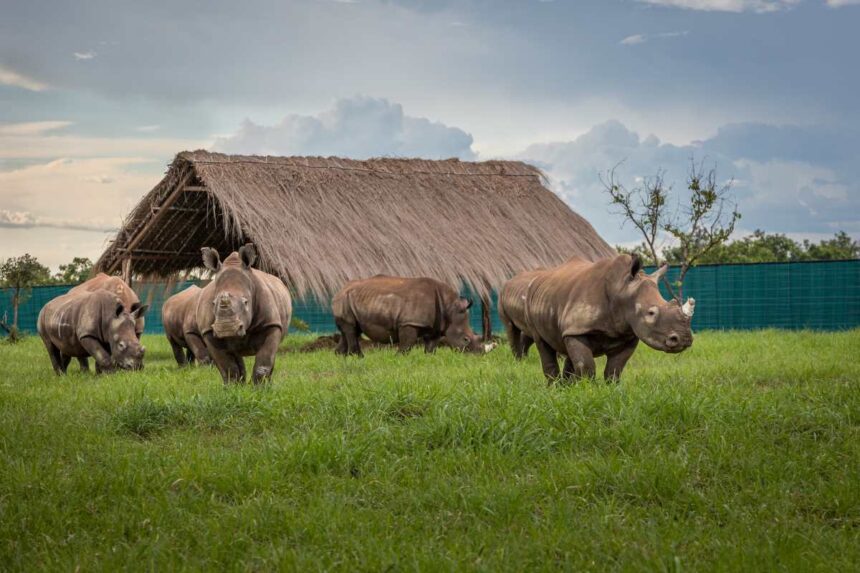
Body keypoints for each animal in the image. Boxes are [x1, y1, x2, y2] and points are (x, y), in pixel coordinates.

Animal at [196, 244, 292, 383]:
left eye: (246, 302)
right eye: (213, 303)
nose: (226, 328)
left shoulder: (271, 324)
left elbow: (263, 363)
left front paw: (260, 388)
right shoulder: (208, 331)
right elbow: (228, 367)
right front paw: (232, 388)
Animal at [331, 275, 493, 356]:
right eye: (465, 339)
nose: (479, 354)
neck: (449, 308)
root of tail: (339, 290)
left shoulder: (434, 326)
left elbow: (431, 346)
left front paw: (429, 358)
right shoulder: (409, 322)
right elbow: (407, 345)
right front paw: (398, 359)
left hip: (350, 299)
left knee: (351, 331)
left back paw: (341, 357)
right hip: (344, 299)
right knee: (351, 330)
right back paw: (358, 358)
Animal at [504, 254, 694, 382]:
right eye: (651, 313)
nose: (684, 339)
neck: (621, 290)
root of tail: (536, 279)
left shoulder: (628, 335)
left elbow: (614, 370)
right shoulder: (579, 328)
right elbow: (587, 367)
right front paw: (587, 391)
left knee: (565, 344)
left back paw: (565, 388)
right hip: (530, 302)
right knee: (541, 342)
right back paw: (555, 388)